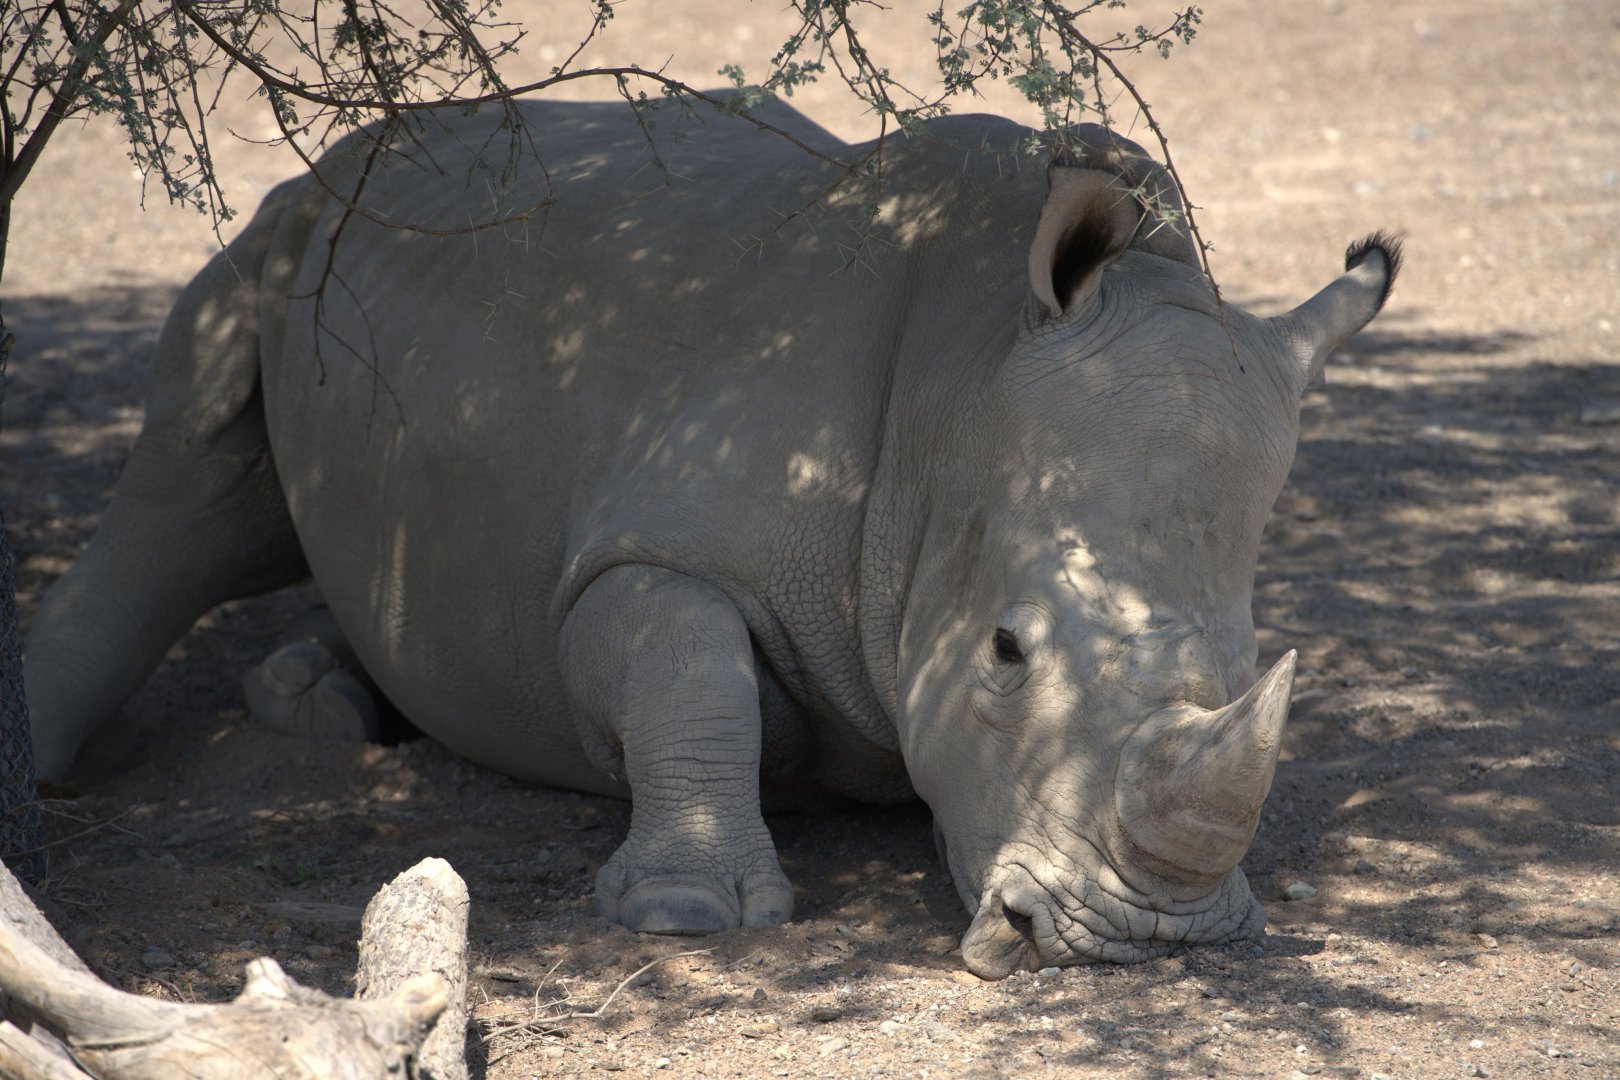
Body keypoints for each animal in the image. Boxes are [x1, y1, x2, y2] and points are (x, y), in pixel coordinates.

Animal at [23, 97, 1399, 976]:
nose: (1149, 939)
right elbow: (695, 675)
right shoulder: (637, 557)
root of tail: (368, 135)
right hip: (283, 225)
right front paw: (689, 916)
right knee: (193, 487)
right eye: (1006, 654)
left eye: (1248, 666)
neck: (958, 385)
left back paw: (319, 703)